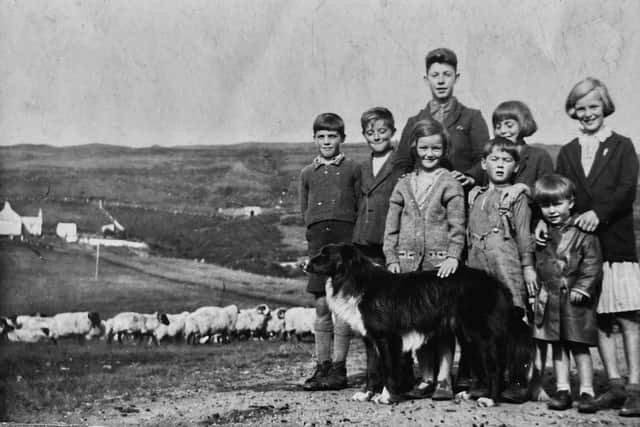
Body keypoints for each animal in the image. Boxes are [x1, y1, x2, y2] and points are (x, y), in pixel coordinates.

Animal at [308, 244, 532, 404]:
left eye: (325, 254)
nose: (304, 264)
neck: (355, 278)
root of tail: (498, 285)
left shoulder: (387, 338)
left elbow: (388, 368)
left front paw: (387, 397)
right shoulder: (370, 340)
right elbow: (372, 370)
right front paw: (366, 395)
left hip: (482, 335)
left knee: (495, 367)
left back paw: (489, 399)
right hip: (469, 337)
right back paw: (471, 394)